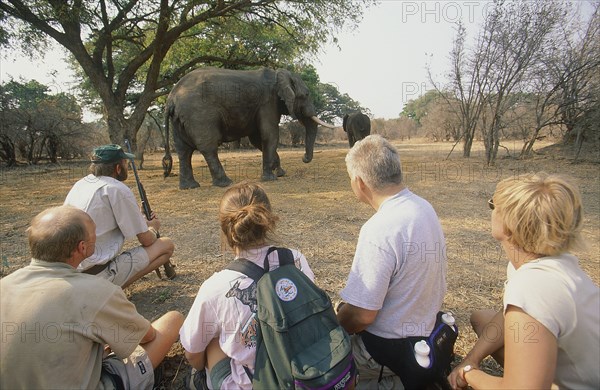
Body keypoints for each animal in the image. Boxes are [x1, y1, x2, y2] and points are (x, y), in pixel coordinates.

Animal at [163, 67, 332, 189]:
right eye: (306, 94)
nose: (304, 158)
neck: (279, 73)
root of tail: (171, 99)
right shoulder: (268, 102)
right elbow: (269, 135)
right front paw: (271, 178)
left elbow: (257, 139)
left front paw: (280, 173)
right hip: (199, 115)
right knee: (208, 147)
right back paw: (226, 183)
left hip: (179, 120)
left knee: (184, 151)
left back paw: (190, 187)